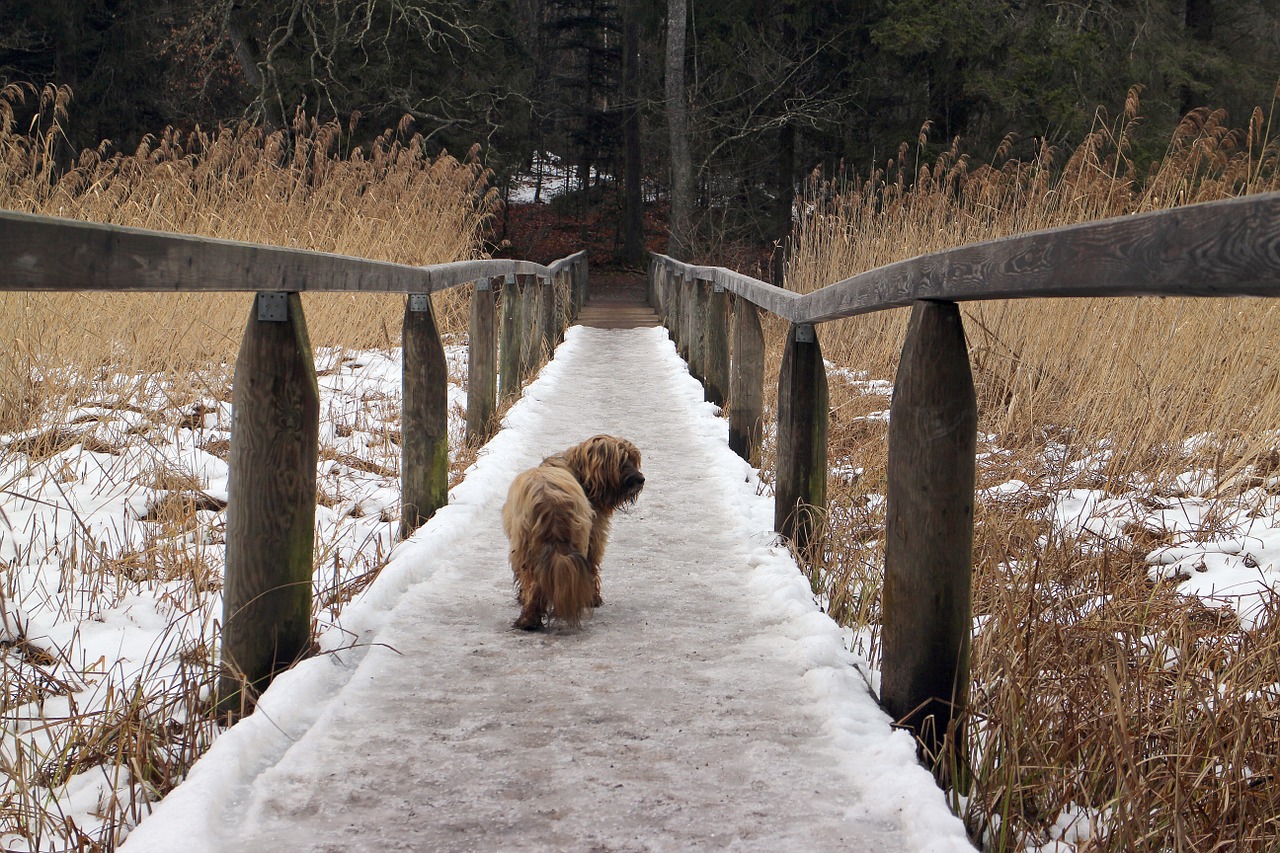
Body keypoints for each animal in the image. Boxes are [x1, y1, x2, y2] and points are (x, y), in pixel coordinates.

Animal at [504, 435, 645, 627]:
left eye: (633, 459)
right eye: (622, 461)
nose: (641, 479)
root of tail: (551, 503)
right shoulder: (594, 537)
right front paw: (594, 599)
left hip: (526, 548)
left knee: (533, 583)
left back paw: (529, 620)